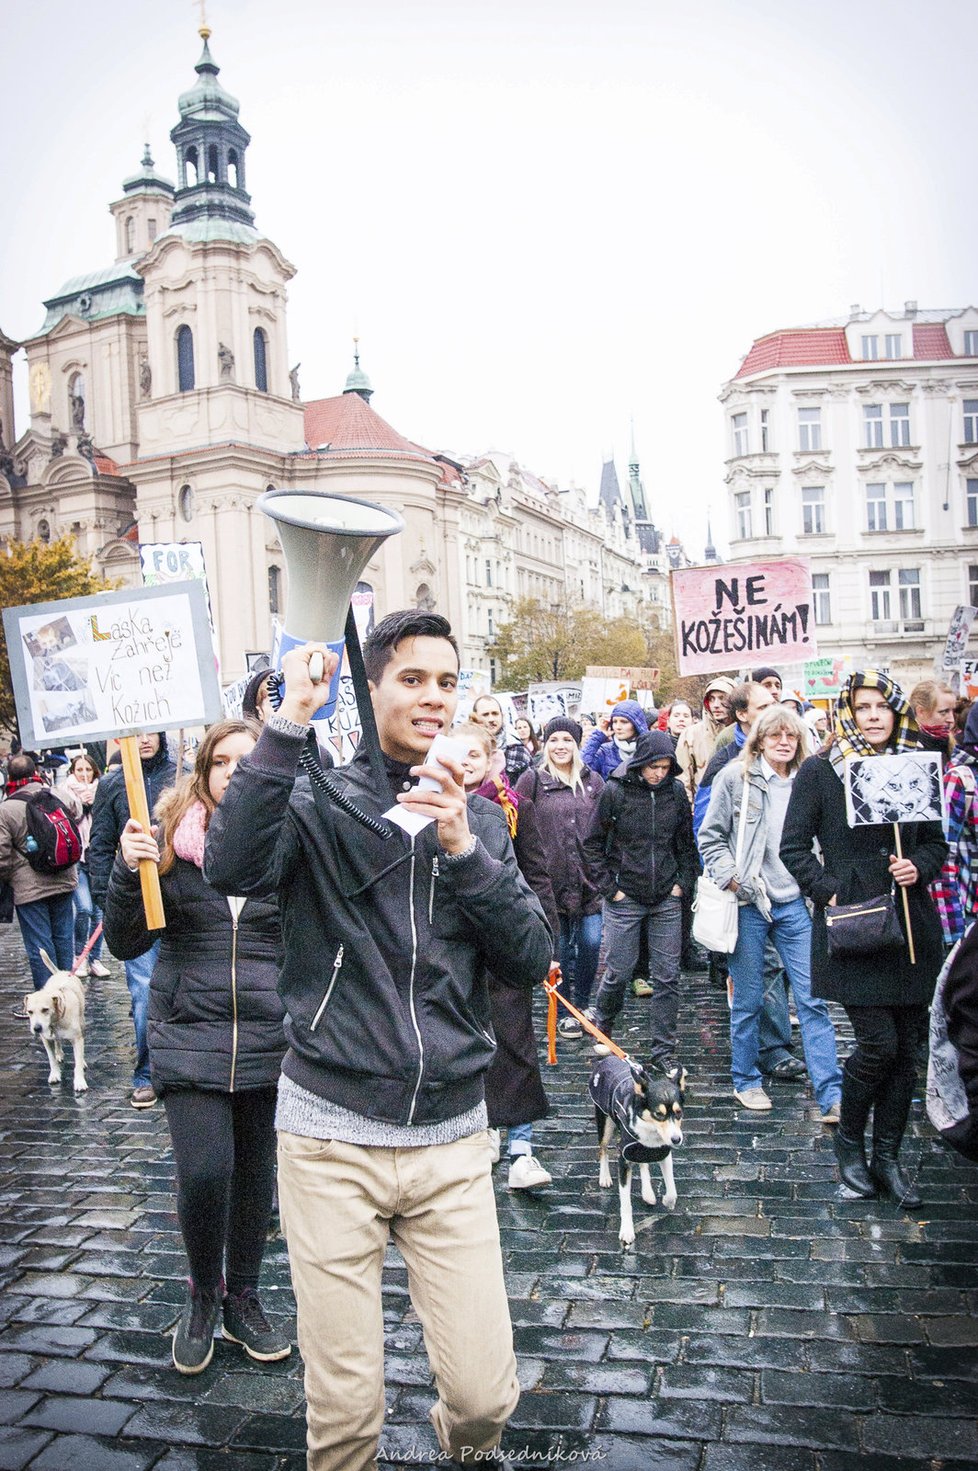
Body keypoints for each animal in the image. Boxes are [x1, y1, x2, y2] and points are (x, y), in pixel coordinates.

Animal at [24, 953, 87, 1094]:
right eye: (30, 1012)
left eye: (45, 1009)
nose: (37, 1028)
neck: (55, 1022)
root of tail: (61, 972)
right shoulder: (46, 1040)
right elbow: (51, 1059)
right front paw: (54, 1074)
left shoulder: (77, 1039)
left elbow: (78, 1063)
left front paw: (80, 1082)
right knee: (58, 1042)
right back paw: (59, 1053)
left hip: (82, 1022)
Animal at [588, 1053, 685, 1247]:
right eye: (659, 1114)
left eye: (678, 1112)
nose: (676, 1139)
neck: (651, 1131)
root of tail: (608, 1058)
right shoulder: (624, 1160)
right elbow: (625, 1203)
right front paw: (626, 1231)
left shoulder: (664, 1153)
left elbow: (672, 1190)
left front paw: (667, 1201)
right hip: (605, 1123)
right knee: (602, 1149)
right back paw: (604, 1177)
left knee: (643, 1164)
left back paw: (648, 1193)